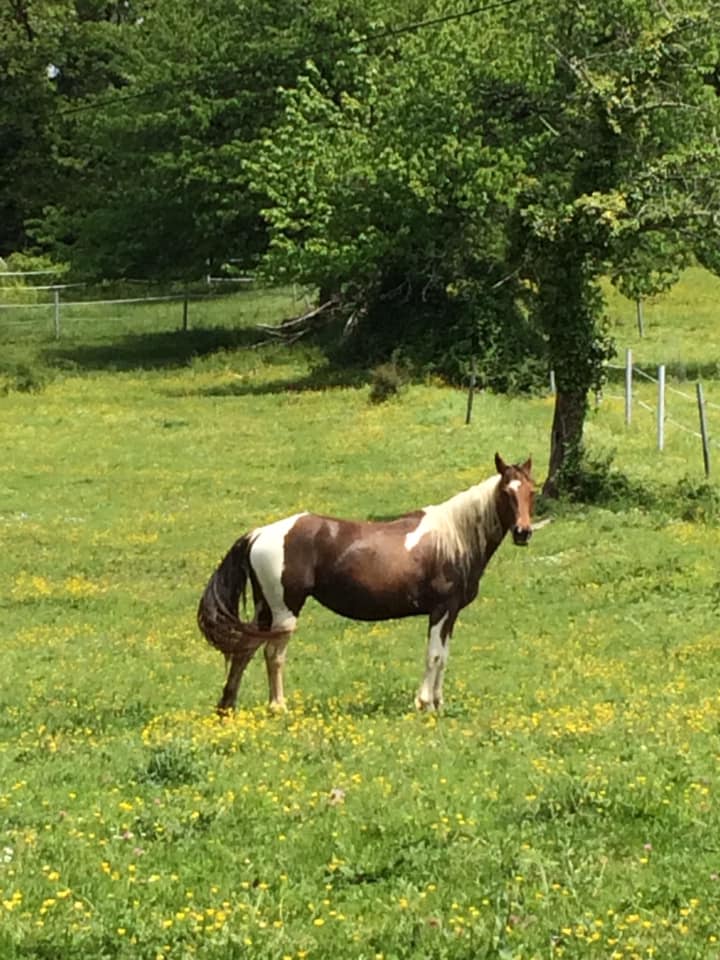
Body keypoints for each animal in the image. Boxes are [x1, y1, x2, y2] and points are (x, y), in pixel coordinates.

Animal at [197, 452, 536, 712]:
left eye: (531, 492)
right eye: (506, 492)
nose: (523, 532)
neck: (453, 538)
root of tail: (259, 534)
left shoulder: (451, 613)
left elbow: (443, 656)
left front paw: (438, 703)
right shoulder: (441, 609)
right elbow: (434, 655)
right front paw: (425, 703)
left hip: (264, 611)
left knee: (244, 651)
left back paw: (228, 707)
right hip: (284, 613)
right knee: (273, 655)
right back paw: (278, 706)